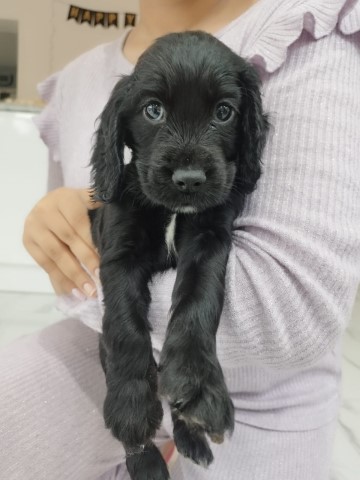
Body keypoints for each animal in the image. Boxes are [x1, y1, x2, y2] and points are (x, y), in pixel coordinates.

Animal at [89, 31, 268, 478]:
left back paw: (190, 434)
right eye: (153, 110)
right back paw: (146, 459)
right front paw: (132, 408)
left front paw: (199, 385)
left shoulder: (210, 238)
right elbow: (125, 325)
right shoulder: (119, 254)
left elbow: (198, 298)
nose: (188, 179)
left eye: (224, 111)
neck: (173, 211)